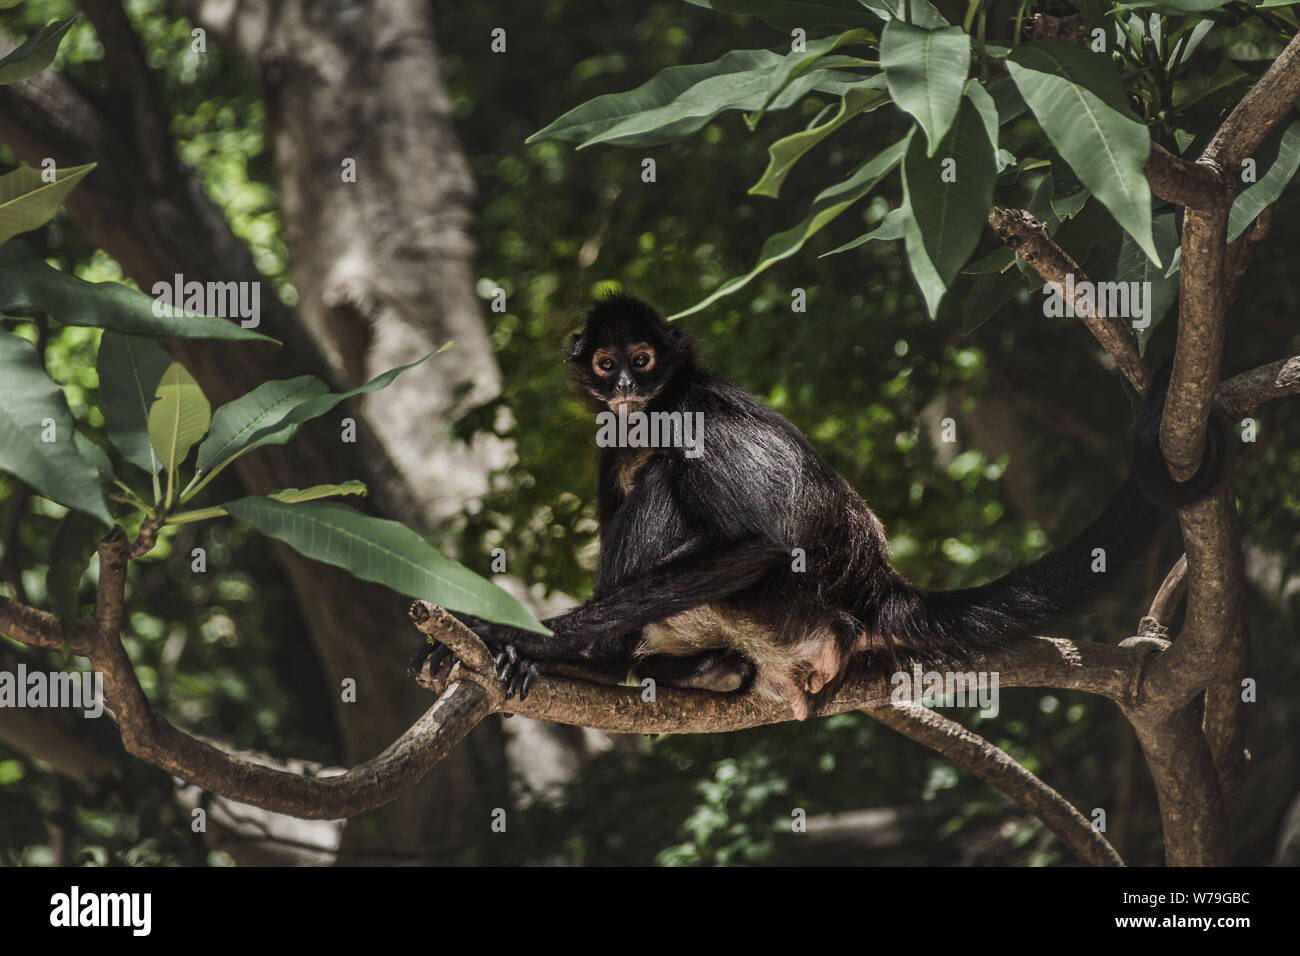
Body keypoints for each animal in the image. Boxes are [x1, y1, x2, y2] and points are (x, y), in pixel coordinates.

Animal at [418, 295, 1227, 723]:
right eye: (604, 362)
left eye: (642, 361)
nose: (623, 385)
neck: (657, 407)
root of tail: (873, 584)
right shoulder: (613, 436)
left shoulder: (690, 416)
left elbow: (760, 542)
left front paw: (520, 636)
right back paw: (697, 671)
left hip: (783, 605)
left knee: (666, 486)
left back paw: (599, 659)